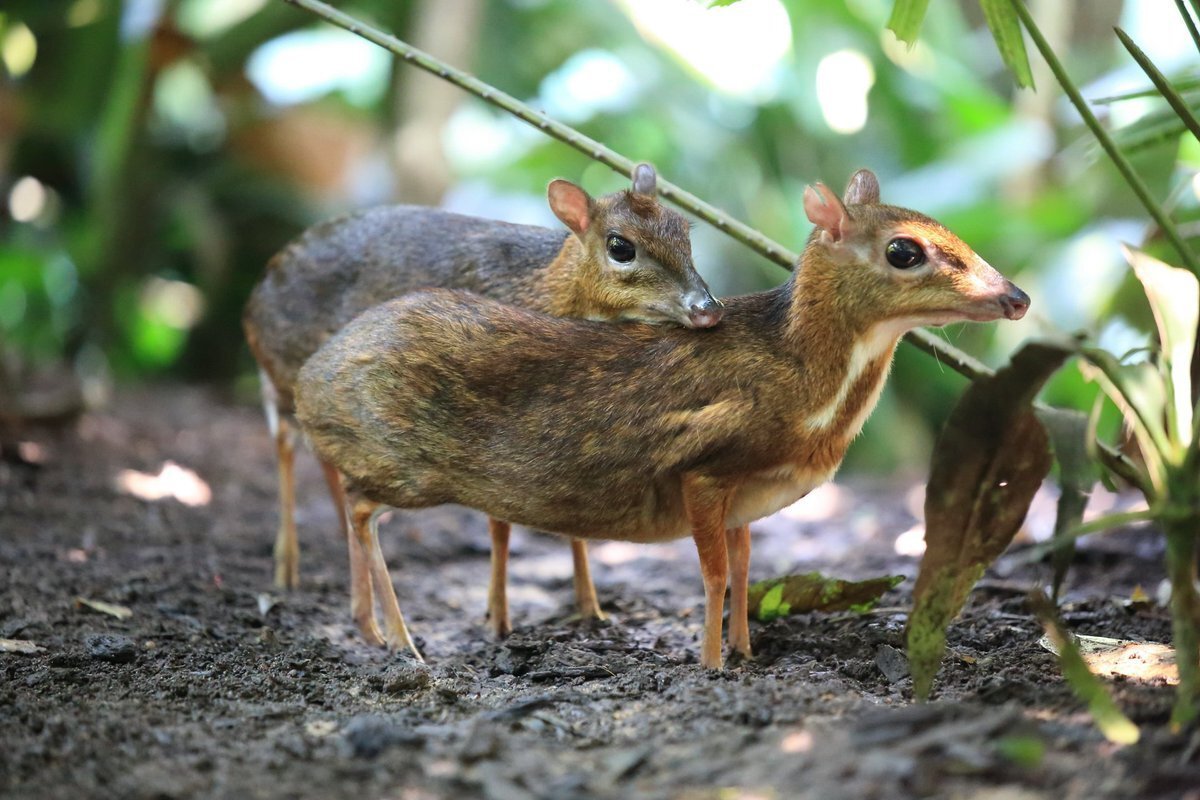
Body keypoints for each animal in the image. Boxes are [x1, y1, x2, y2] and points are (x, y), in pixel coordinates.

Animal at [238, 163, 715, 642]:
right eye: (621, 247)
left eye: (684, 230)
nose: (706, 308)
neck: (545, 289)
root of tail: (254, 297)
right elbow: (500, 523)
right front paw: (498, 619)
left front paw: (590, 610)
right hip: (290, 376)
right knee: (286, 441)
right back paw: (290, 570)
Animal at [295, 170, 1027, 671]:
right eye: (905, 251)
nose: (1017, 296)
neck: (807, 388)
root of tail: (310, 380)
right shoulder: (702, 470)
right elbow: (712, 574)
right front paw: (709, 663)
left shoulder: (746, 495)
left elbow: (744, 567)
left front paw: (747, 652)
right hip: (403, 466)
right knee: (357, 506)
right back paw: (397, 639)